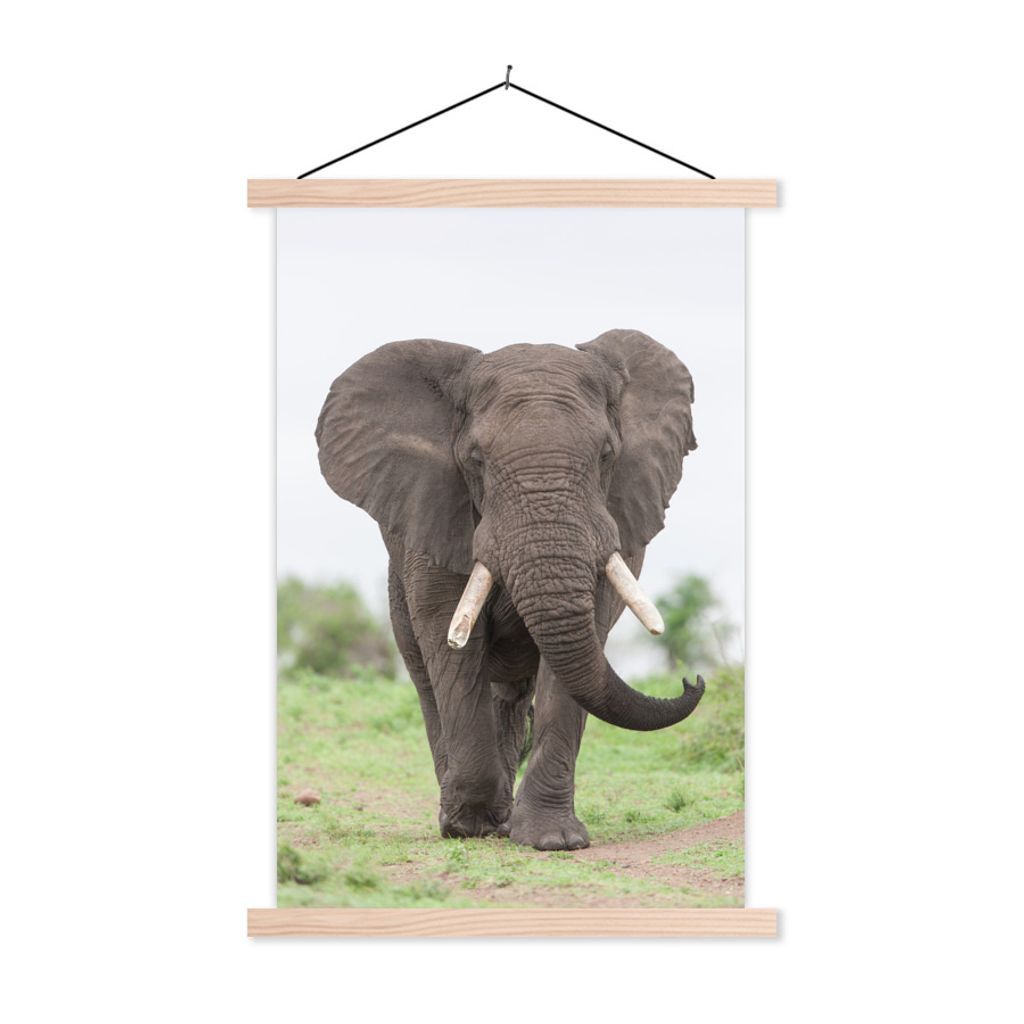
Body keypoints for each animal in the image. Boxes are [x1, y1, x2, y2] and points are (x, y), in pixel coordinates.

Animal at [315, 328, 705, 851]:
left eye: (606, 455)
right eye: (476, 461)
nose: (692, 680)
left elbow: (581, 646)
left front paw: (553, 840)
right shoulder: (435, 515)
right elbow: (450, 640)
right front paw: (468, 827)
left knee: (513, 693)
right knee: (427, 677)